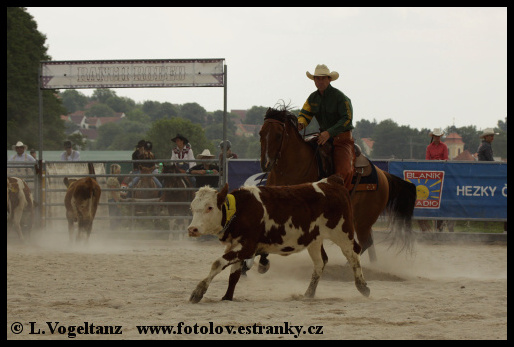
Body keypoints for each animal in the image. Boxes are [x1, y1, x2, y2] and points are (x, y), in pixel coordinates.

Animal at [186, 175, 366, 304]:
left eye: (209, 207)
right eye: (192, 208)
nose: (192, 229)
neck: (240, 210)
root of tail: (332, 182)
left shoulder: (247, 247)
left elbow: (218, 263)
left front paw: (198, 291)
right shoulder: (235, 246)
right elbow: (234, 275)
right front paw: (227, 297)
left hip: (343, 233)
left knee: (352, 255)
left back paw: (362, 286)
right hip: (315, 240)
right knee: (320, 262)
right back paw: (309, 293)